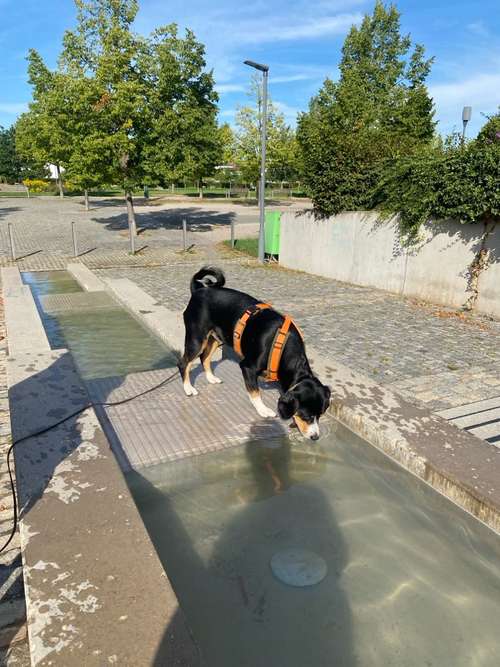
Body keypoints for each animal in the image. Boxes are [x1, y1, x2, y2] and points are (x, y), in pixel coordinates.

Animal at [178, 266, 330, 438]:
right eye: (306, 416)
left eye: (320, 415)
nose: (315, 437)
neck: (283, 347)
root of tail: (198, 291)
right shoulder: (248, 367)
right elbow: (255, 393)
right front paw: (263, 410)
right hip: (197, 339)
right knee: (184, 363)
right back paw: (188, 388)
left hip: (216, 338)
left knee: (205, 357)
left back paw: (211, 378)